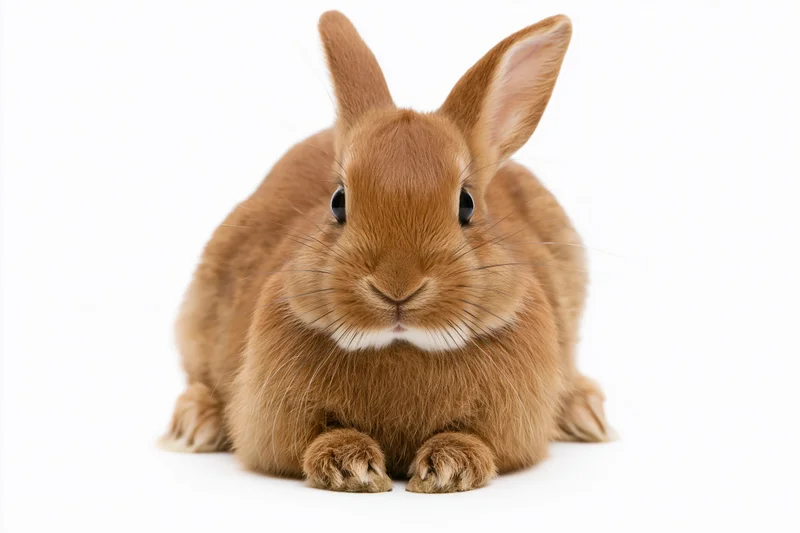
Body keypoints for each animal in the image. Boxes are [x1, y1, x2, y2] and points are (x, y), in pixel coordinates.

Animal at [161, 10, 613, 493]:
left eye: (467, 204)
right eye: (338, 201)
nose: (397, 286)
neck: (402, 347)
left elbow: (480, 440)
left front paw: (450, 467)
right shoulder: (272, 422)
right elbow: (310, 440)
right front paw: (350, 467)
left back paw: (585, 415)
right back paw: (194, 424)